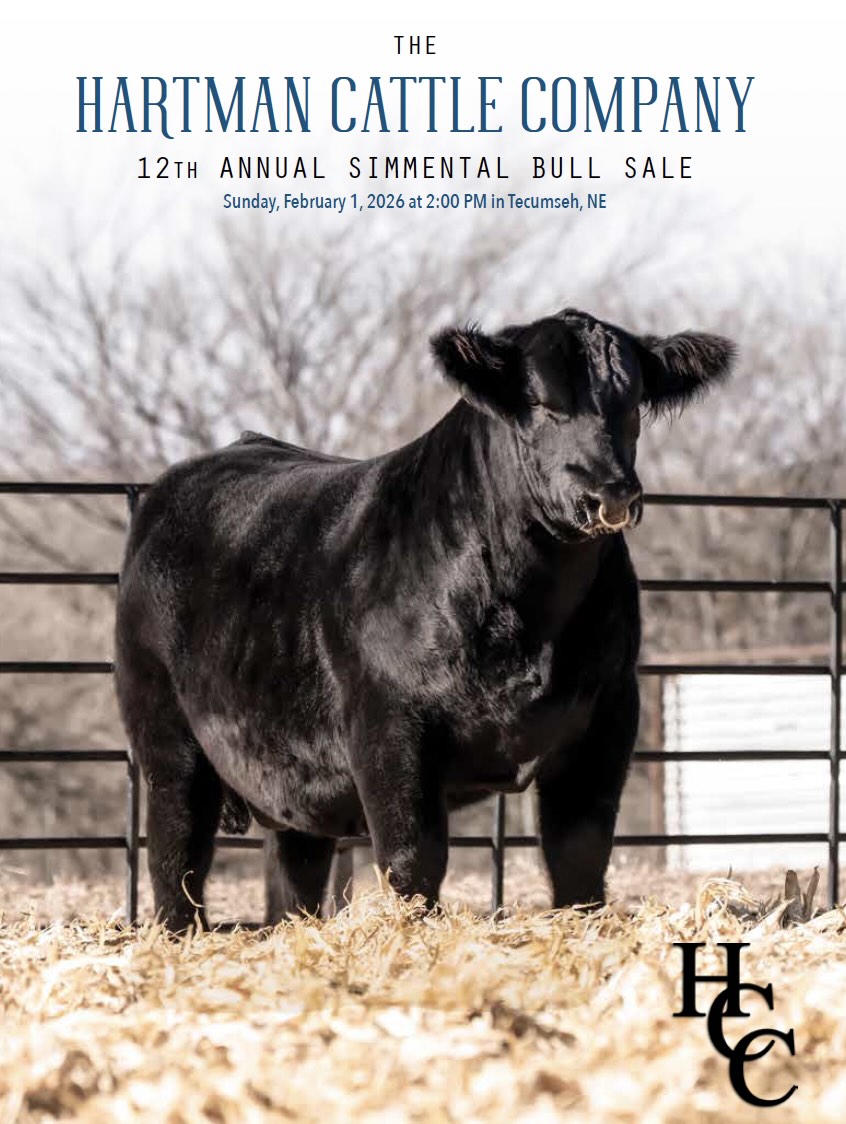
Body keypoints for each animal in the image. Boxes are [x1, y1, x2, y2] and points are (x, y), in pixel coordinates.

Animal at [114, 307, 733, 930]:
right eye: (540, 401)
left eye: (632, 403)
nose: (609, 492)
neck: (532, 618)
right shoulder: (388, 724)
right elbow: (413, 858)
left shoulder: (608, 711)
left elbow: (580, 851)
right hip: (166, 735)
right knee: (175, 853)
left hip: (289, 772)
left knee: (294, 876)